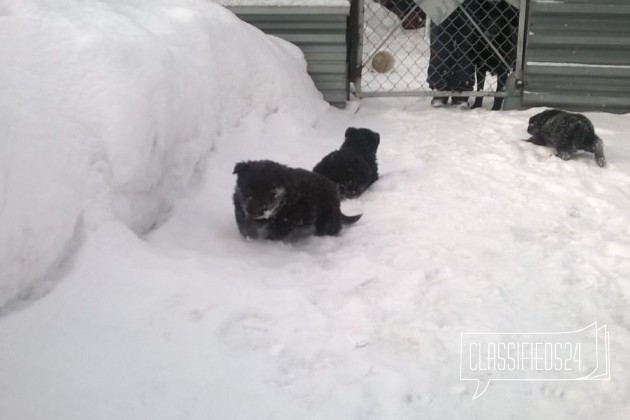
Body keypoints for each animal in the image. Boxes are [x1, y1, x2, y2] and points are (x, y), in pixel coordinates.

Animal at [232, 160, 362, 241]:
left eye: (271, 193)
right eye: (248, 189)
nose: (253, 211)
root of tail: (334, 189)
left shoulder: (286, 220)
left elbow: (275, 233)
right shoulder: (240, 207)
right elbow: (244, 225)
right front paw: (250, 236)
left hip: (327, 217)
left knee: (331, 227)